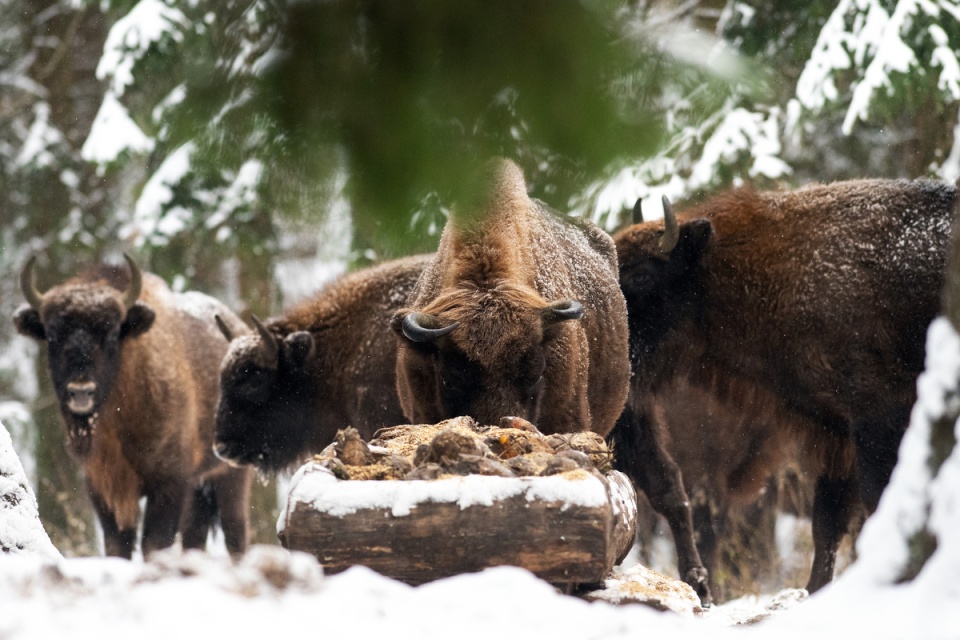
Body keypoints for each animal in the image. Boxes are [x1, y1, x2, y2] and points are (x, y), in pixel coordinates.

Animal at [13, 255, 253, 560]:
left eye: (112, 333)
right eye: (53, 334)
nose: (81, 391)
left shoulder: (169, 483)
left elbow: (154, 542)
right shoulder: (103, 486)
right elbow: (118, 543)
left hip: (232, 475)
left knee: (235, 532)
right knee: (195, 536)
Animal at [612, 179, 956, 596]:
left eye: (642, 275)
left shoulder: (875, 419)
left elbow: (874, 505)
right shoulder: (838, 433)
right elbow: (828, 523)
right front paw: (816, 590)